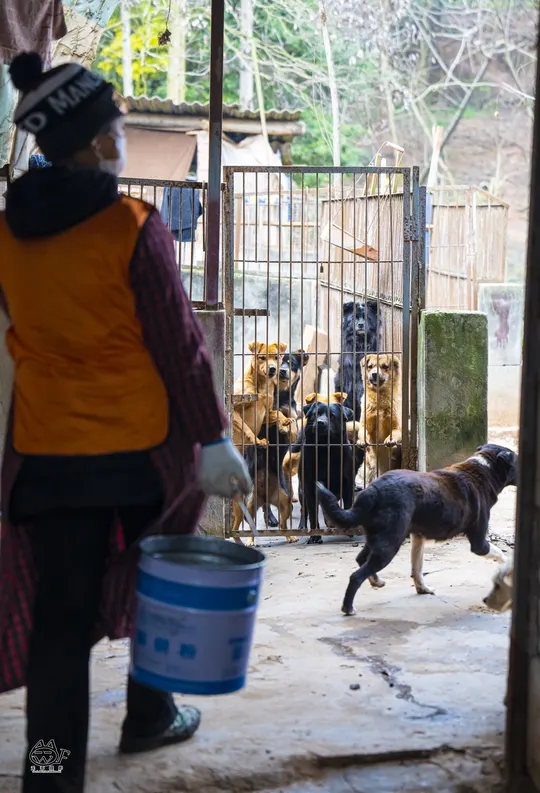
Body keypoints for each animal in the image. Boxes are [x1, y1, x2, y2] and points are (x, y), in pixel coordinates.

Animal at [295, 400, 359, 544]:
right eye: (316, 414)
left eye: (333, 416)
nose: (320, 422)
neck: (325, 449)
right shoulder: (309, 487)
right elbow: (313, 514)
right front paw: (315, 536)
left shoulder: (348, 484)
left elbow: (348, 506)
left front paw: (349, 530)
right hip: (301, 490)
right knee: (304, 510)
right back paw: (302, 526)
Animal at [316, 443, 517, 615]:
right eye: (517, 460)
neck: (484, 469)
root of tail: (373, 490)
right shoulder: (479, 543)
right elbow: (501, 554)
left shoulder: (418, 537)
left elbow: (417, 567)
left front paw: (423, 589)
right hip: (389, 544)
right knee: (356, 576)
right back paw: (348, 607)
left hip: (380, 537)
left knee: (361, 559)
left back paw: (376, 581)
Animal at [358, 353, 402, 483]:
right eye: (370, 366)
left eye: (384, 366)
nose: (374, 374)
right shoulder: (365, 424)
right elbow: (363, 432)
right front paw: (362, 441)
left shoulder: (397, 427)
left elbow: (395, 433)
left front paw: (390, 440)